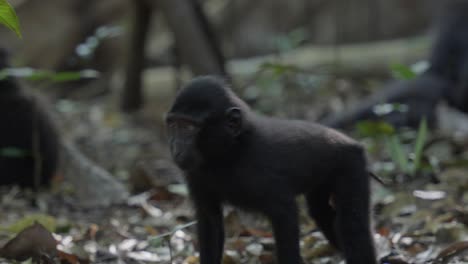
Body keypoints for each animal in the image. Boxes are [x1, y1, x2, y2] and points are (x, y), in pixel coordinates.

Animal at [165, 75, 376, 262]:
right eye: (174, 125)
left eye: (190, 127)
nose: (175, 146)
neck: (230, 153)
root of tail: (350, 142)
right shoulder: (196, 175)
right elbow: (210, 221)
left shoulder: (264, 174)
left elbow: (286, 215)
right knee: (321, 212)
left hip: (351, 164)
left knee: (352, 225)